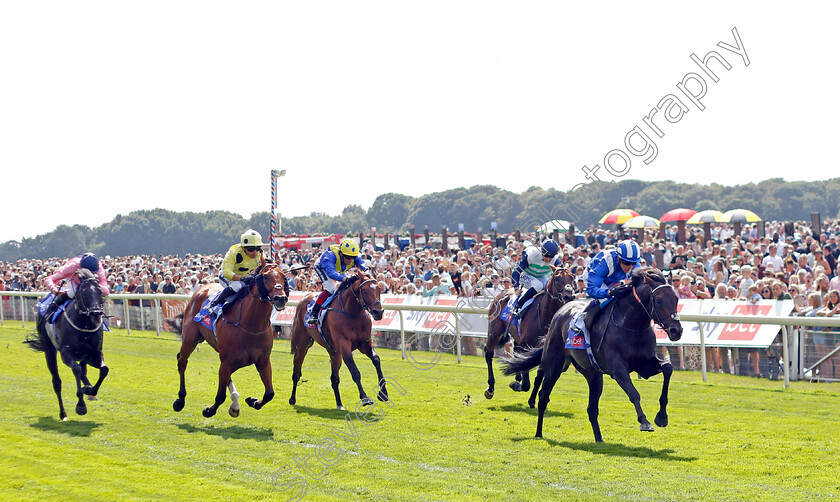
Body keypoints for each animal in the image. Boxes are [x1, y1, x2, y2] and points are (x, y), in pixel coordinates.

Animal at [24, 268, 108, 422]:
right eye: (84, 293)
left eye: (100, 292)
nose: (96, 314)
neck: (84, 326)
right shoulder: (65, 353)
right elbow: (76, 369)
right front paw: (81, 405)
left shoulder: (93, 353)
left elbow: (104, 370)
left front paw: (91, 390)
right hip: (49, 350)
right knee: (57, 382)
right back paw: (63, 413)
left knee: (84, 371)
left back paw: (88, 389)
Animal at [166, 264, 290, 418]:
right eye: (266, 276)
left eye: (283, 277)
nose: (280, 298)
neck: (251, 325)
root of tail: (201, 289)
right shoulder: (227, 361)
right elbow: (220, 396)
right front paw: (209, 410)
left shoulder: (263, 361)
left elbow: (269, 393)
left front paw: (253, 401)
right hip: (190, 338)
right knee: (182, 361)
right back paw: (180, 400)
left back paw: (235, 404)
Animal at [290, 270, 388, 408]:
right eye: (364, 290)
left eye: (379, 288)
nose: (378, 312)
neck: (352, 313)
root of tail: (305, 297)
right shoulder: (344, 346)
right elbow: (355, 372)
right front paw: (365, 398)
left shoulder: (365, 343)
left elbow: (376, 360)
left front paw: (383, 393)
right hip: (302, 345)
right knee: (296, 372)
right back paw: (292, 399)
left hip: (334, 352)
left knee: (334, 378)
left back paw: (339, 404)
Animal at [482, 264, 576, 402]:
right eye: (557, 278)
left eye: (572, 277)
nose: (568, 296)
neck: (545, 314)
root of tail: (502, 293)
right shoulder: (526, 345)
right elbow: (526, 383)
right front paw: (517, 385)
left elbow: (539, 374)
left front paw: (531, 400)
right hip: (495, 332)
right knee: (489, 353)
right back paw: (490, 388)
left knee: (515, 353)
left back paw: (517, 377)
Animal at [502, 268, 680, 442]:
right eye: (658, 300)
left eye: (676, 298)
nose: (676, 330)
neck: (631, 325)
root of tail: (560, 312)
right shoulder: (617, 369)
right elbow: (633, 393)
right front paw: (645, 422)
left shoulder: (645, 365)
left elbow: (668, 368)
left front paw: (662, 417)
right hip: (554, 366)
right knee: (543, 397)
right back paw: (538, 433)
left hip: (592, 374)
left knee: (592, 408)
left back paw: (599, 439)